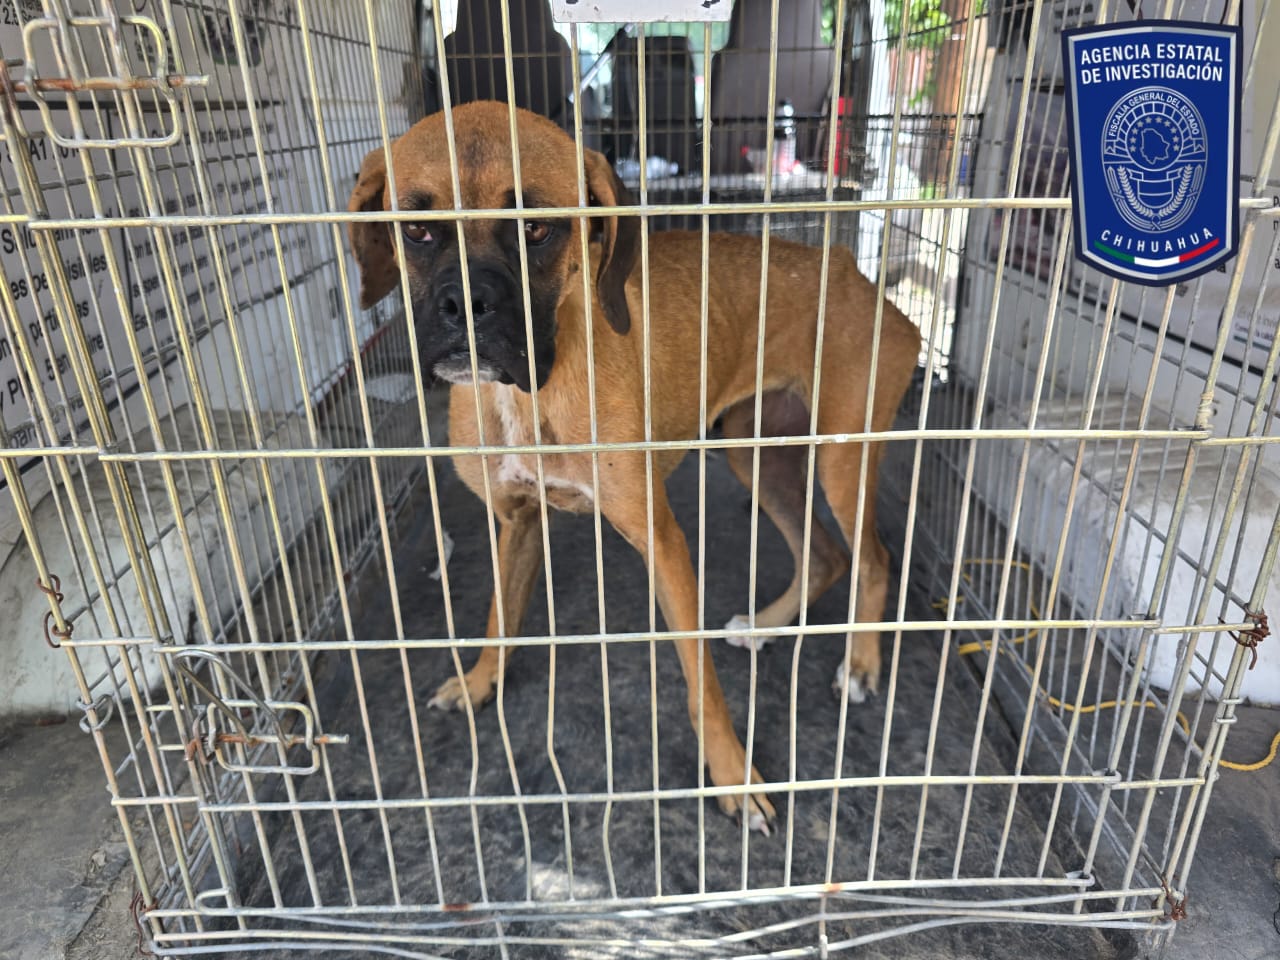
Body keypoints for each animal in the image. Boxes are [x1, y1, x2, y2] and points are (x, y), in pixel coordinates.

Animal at [347, 101, 921, 834]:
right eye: (416, 228)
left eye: (534, 228)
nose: (465, 308)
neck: (529, 392)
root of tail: (854, 272)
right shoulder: (516, 522)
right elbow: (501, 614)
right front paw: (480, 683)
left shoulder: (663, 542)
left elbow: (702, 685)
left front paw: (734, 779)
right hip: (754, 454)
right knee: (825, 553)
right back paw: (764, 626)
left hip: (843, 457)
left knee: (872, 556)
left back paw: (860, 664)